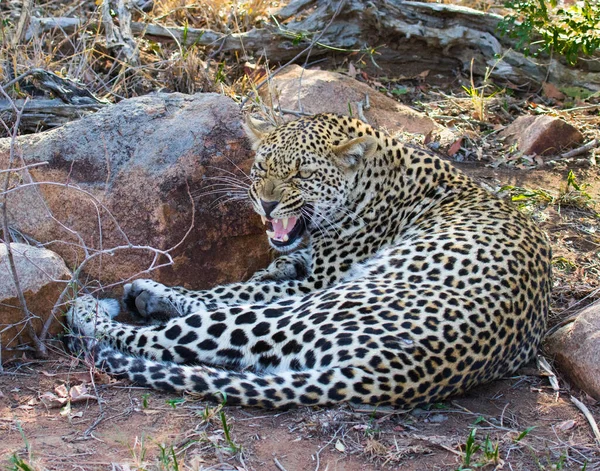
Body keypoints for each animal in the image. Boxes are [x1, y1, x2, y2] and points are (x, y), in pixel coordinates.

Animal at [67, 113, 552, 410]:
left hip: (312, 309)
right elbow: (250, 280)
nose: (265, 204)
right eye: (262, 167)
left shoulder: (316, 281)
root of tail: (409, 373)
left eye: (302, 174)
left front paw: (148, 291)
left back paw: (93, 306)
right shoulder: (294, 269)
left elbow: (225, 290)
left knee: (156, 337)